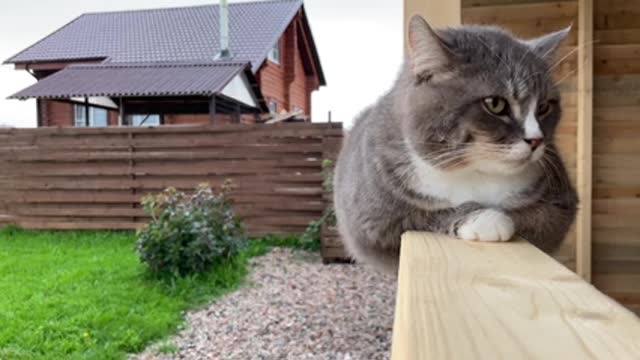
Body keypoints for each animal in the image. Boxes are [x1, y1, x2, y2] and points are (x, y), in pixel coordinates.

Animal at [332, 14, 576, 272]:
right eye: (496, 104)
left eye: (544, 107)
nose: (537, 139)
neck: (474, 173)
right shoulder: (372, 221)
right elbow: (420, 215)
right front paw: (485, 219)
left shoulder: (561, 203)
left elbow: (537, 217)